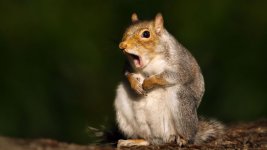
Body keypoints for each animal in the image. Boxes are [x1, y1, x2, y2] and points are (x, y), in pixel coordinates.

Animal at [114, 12, 225, 146]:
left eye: (146, 34)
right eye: (125, 31)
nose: (122, 45)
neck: (150, 61)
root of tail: (162, 137)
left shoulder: (181, 66)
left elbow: (169, 76)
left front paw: (147, 83)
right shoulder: (127, 66)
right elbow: (126, 73)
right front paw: (135, 84)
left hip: (181, 102)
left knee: (188, 136)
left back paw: (182, 139)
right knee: (148, 140)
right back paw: (135, 141)